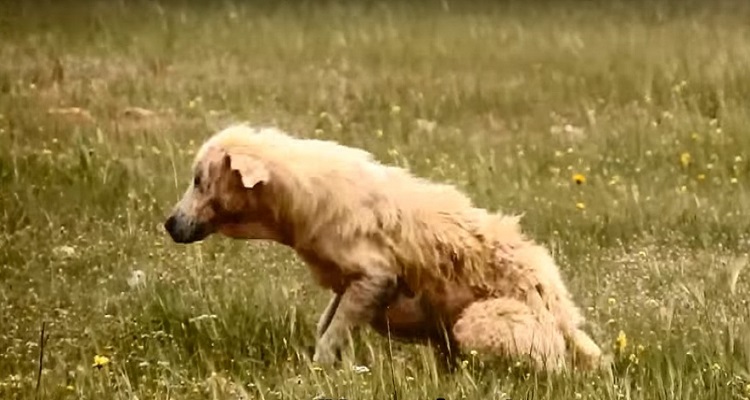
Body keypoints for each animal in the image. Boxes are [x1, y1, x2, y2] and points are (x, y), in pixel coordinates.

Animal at [164, 125, 604, 372]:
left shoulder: (376, 276)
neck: (297, 201)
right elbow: (327, 325)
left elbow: (330, 336)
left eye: (199, 180)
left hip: (481, 323)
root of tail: (565, 316)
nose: (168, 224)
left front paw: (317, 372)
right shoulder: (347, 284)